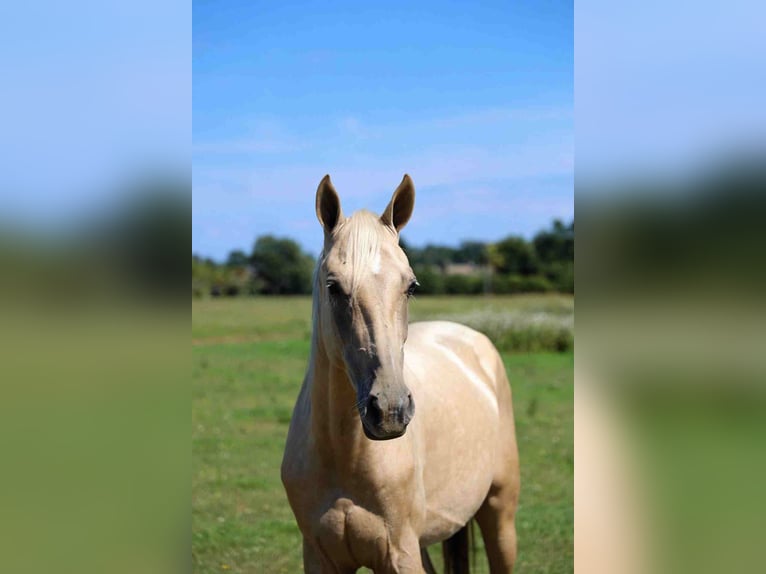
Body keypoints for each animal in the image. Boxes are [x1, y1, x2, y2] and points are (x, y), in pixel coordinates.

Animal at [281, 174, 520, 573]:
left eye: (410, 286)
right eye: (333, 286)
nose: (390, 410)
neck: (343, 454)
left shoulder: (400, 554)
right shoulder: (320, 556)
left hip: (499, 513)